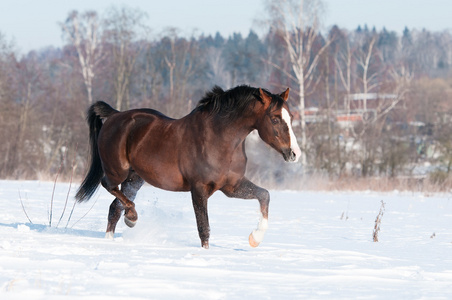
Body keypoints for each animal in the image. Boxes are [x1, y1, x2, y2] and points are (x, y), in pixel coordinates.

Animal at [75, 85, 300, 248]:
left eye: (291, 117)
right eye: (275, 119)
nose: (294, 154)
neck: (220, 139)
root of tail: (114, 116)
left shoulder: (232, 187)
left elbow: (264, 195)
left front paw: (255, 238)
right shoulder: (199, 189)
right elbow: (204, 228)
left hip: (134, 179)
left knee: (115, 207)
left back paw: (114, 236)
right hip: (117, 170)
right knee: (109, 186)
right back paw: (132, 217)